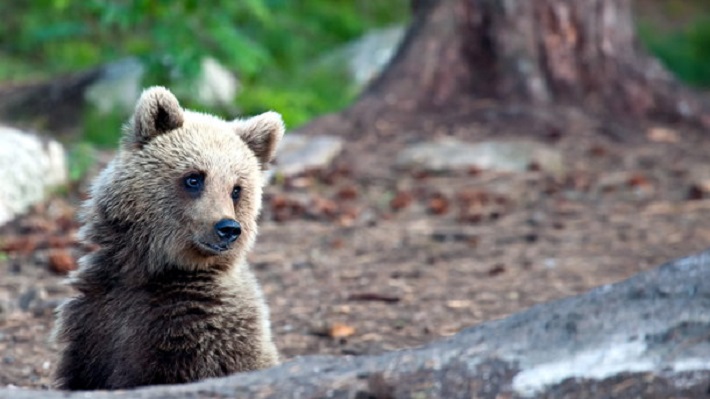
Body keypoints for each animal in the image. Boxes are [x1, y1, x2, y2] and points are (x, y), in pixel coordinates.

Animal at [52, 86, 284, 390]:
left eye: (236, 189)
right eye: (194, 178)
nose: (228, 228)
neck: (152, 268)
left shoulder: (193, 336)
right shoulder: (98, 319)